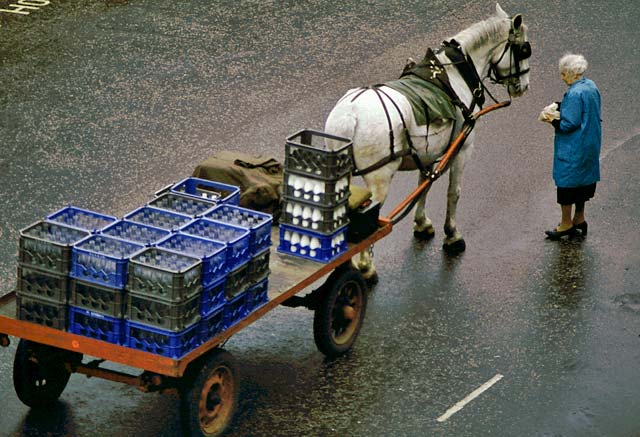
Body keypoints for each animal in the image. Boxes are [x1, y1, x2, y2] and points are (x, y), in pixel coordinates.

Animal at [324, 3, 528, 282]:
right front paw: (452, 235)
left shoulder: (428, 152)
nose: (524, 87)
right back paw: (365, 267)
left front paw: (421, 223)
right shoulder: (462, 148)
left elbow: (424, 185)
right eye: (525, 49)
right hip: (379, 178)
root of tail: (349, 115)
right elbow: (453, 192)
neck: (453, 76)